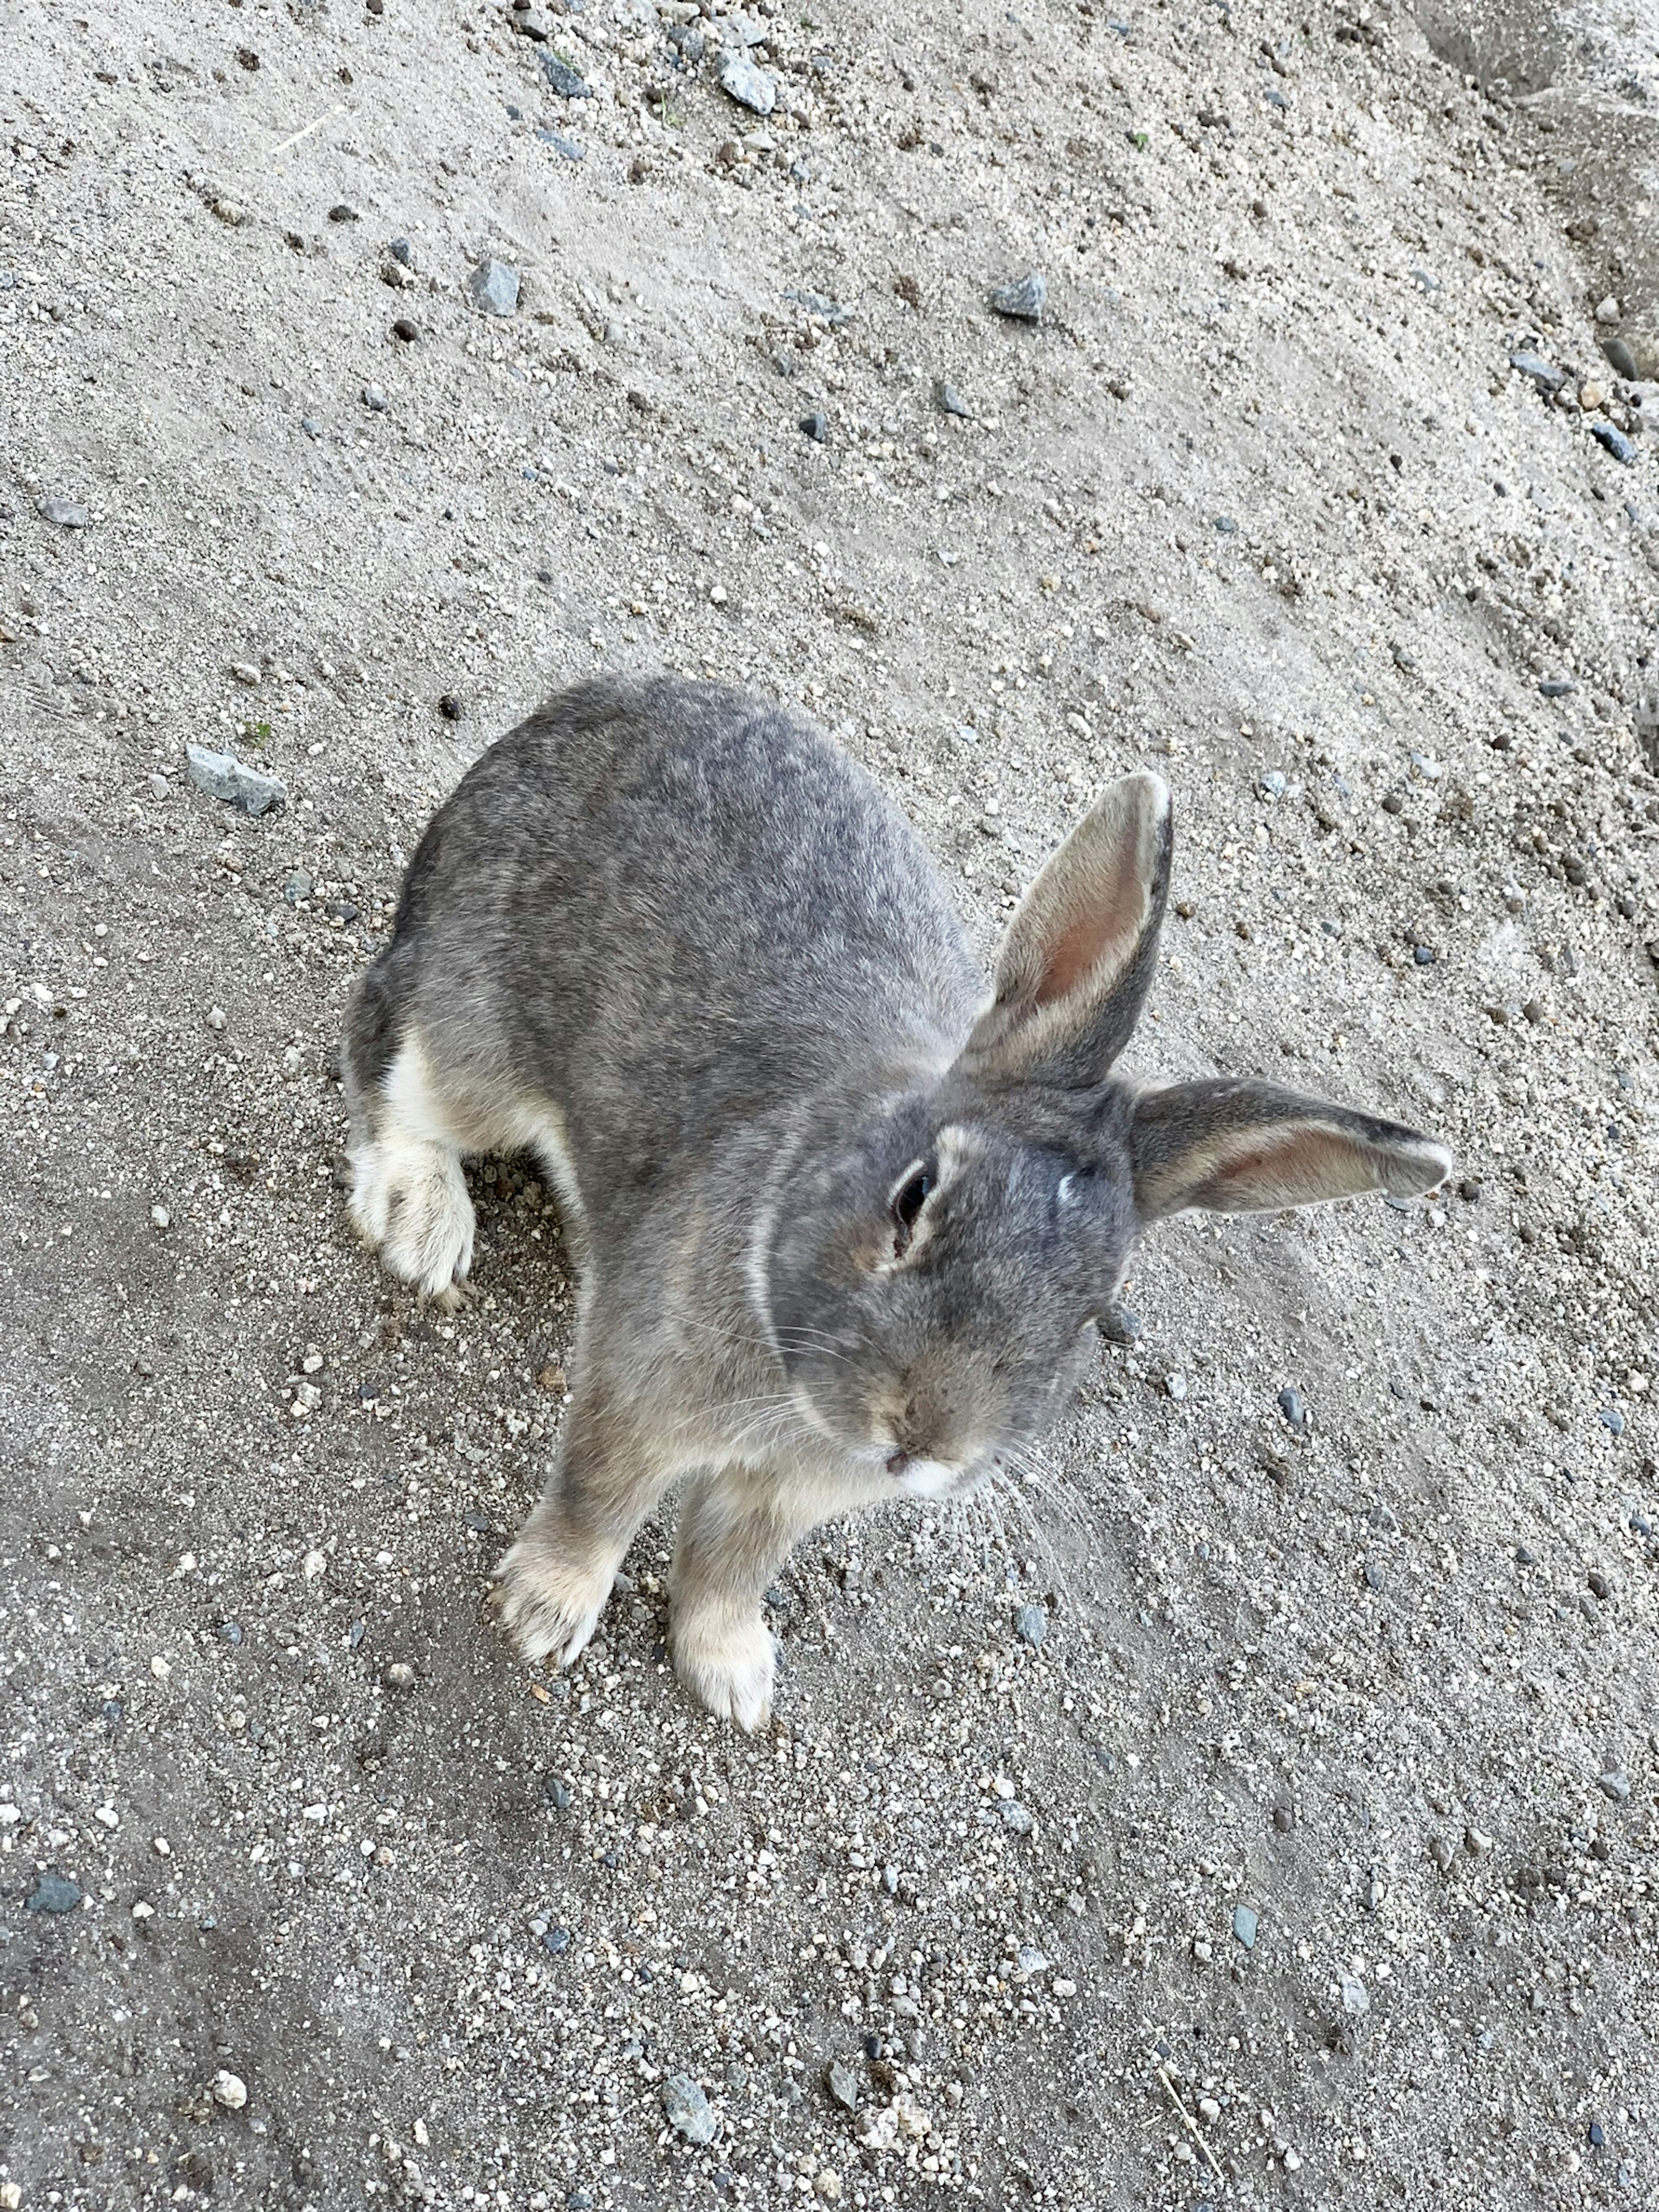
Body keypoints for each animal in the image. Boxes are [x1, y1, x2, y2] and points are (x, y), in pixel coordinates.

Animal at [340, 672, 1451, 1725]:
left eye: (1095, 1314)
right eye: (915, 1196)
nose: (924, 1436)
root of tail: (552, 721)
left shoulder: (783, 1497)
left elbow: (729, 1571)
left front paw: (735, 1680)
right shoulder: (636, 1396)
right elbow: (597, 1502)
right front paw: (540, 1614)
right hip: (478, 1037)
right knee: (390, 1058)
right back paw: (424, 1224)